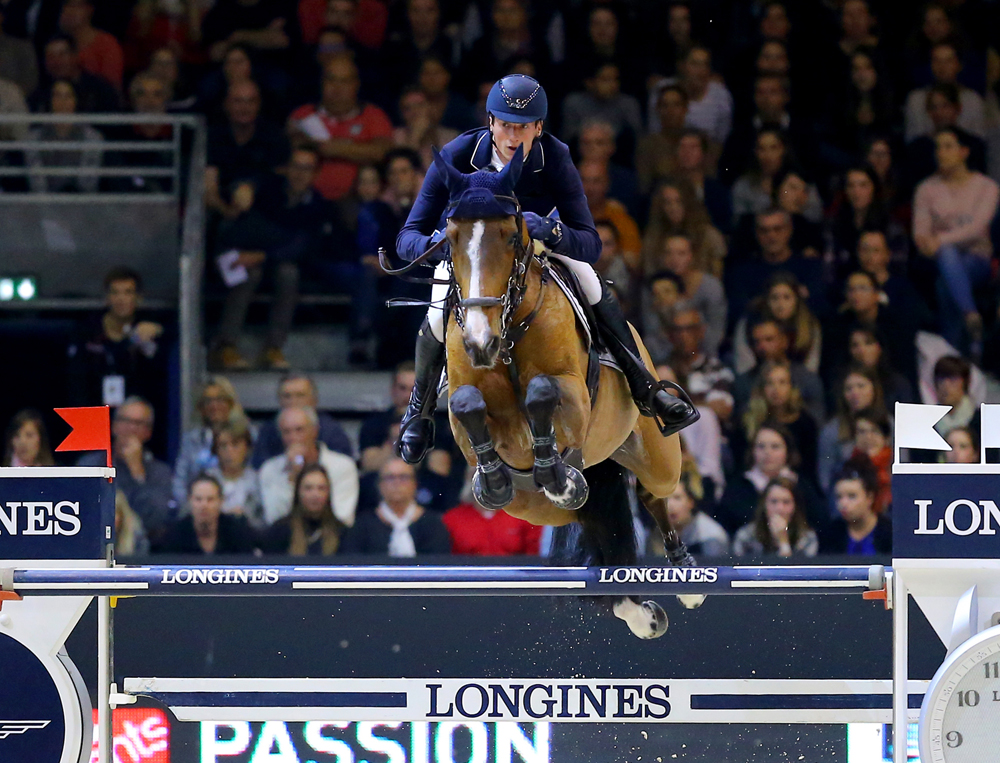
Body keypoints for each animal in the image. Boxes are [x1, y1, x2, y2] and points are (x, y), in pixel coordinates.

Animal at [430, 148, 704, 640]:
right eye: (452, 240)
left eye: (511, 236)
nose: (480, 343)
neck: (508, 335)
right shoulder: (464, 415)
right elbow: (467, 405)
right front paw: (495, 479)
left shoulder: (574, 397)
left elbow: (543, 391)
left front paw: (554, 470)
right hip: (539, 510)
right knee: (601, 529)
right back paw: (642, 612)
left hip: (654, 455)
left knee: (653, 493)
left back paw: (683, 574)